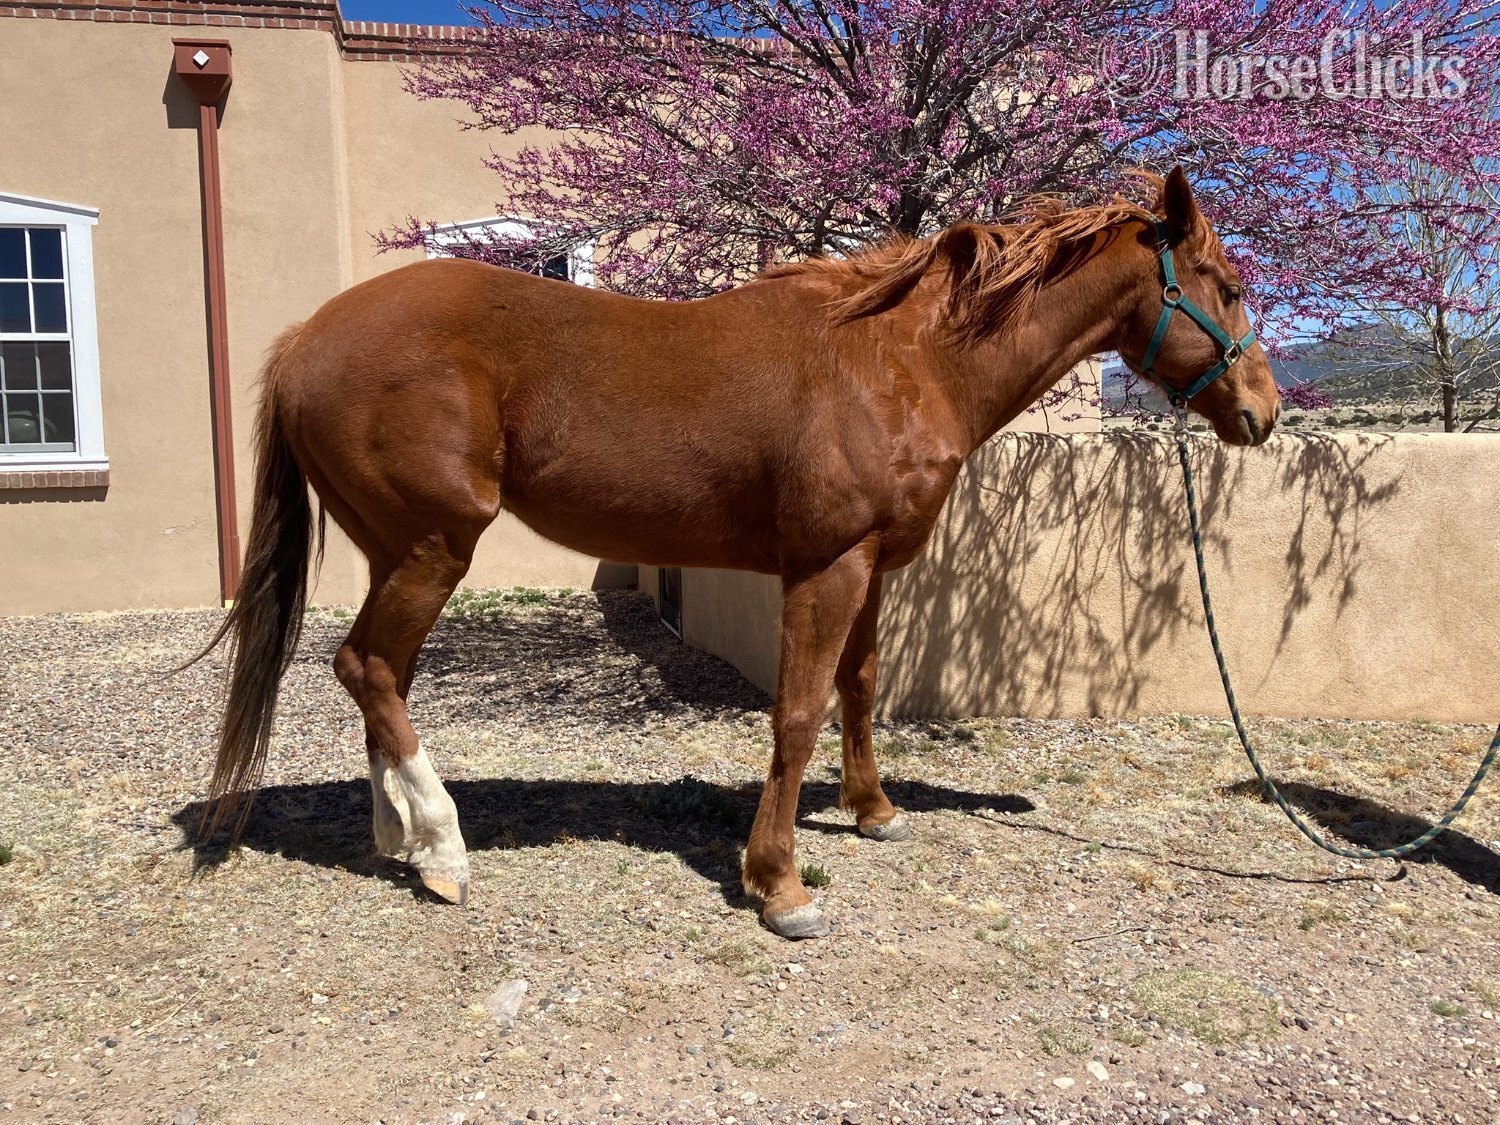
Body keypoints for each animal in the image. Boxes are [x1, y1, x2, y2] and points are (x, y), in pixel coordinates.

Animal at [197, 166, 1279, 939]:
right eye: (1226, 288)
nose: (1264, 413)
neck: (900, 363)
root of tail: (304, 339)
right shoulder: (827, 567)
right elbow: (797, 713)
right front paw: (780, 885)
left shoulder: (873, 567)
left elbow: (860, 686)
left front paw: (875, 809)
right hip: (433, 544)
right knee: (370, 666)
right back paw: (445, 849)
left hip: (401, 552)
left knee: (380, 673)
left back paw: (403, 837)